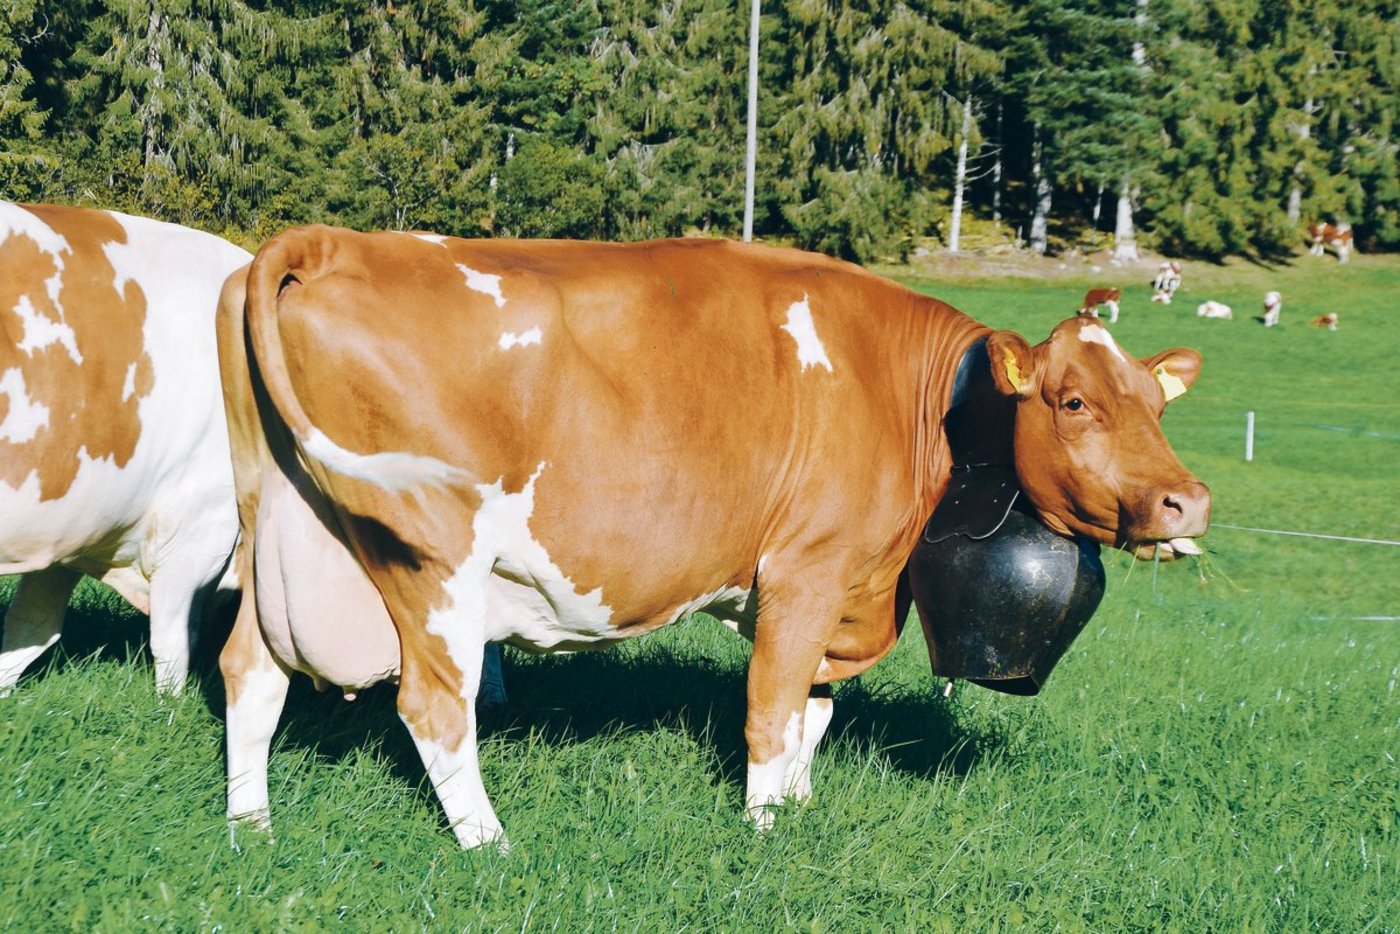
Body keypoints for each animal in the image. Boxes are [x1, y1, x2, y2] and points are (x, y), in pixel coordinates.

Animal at [216, 227, 1210, 849]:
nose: (1188, 503)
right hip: (433, 562)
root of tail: (333, 240)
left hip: (281, 534)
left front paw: (800, 806)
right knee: (432, 705)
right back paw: (490, 843)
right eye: (1073, 401)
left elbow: (815, 707)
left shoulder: (840, 588)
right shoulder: (808, 570)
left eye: (1157, 404)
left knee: (249, 673)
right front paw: (766, 830)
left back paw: (249, 828)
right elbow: (772, 708)